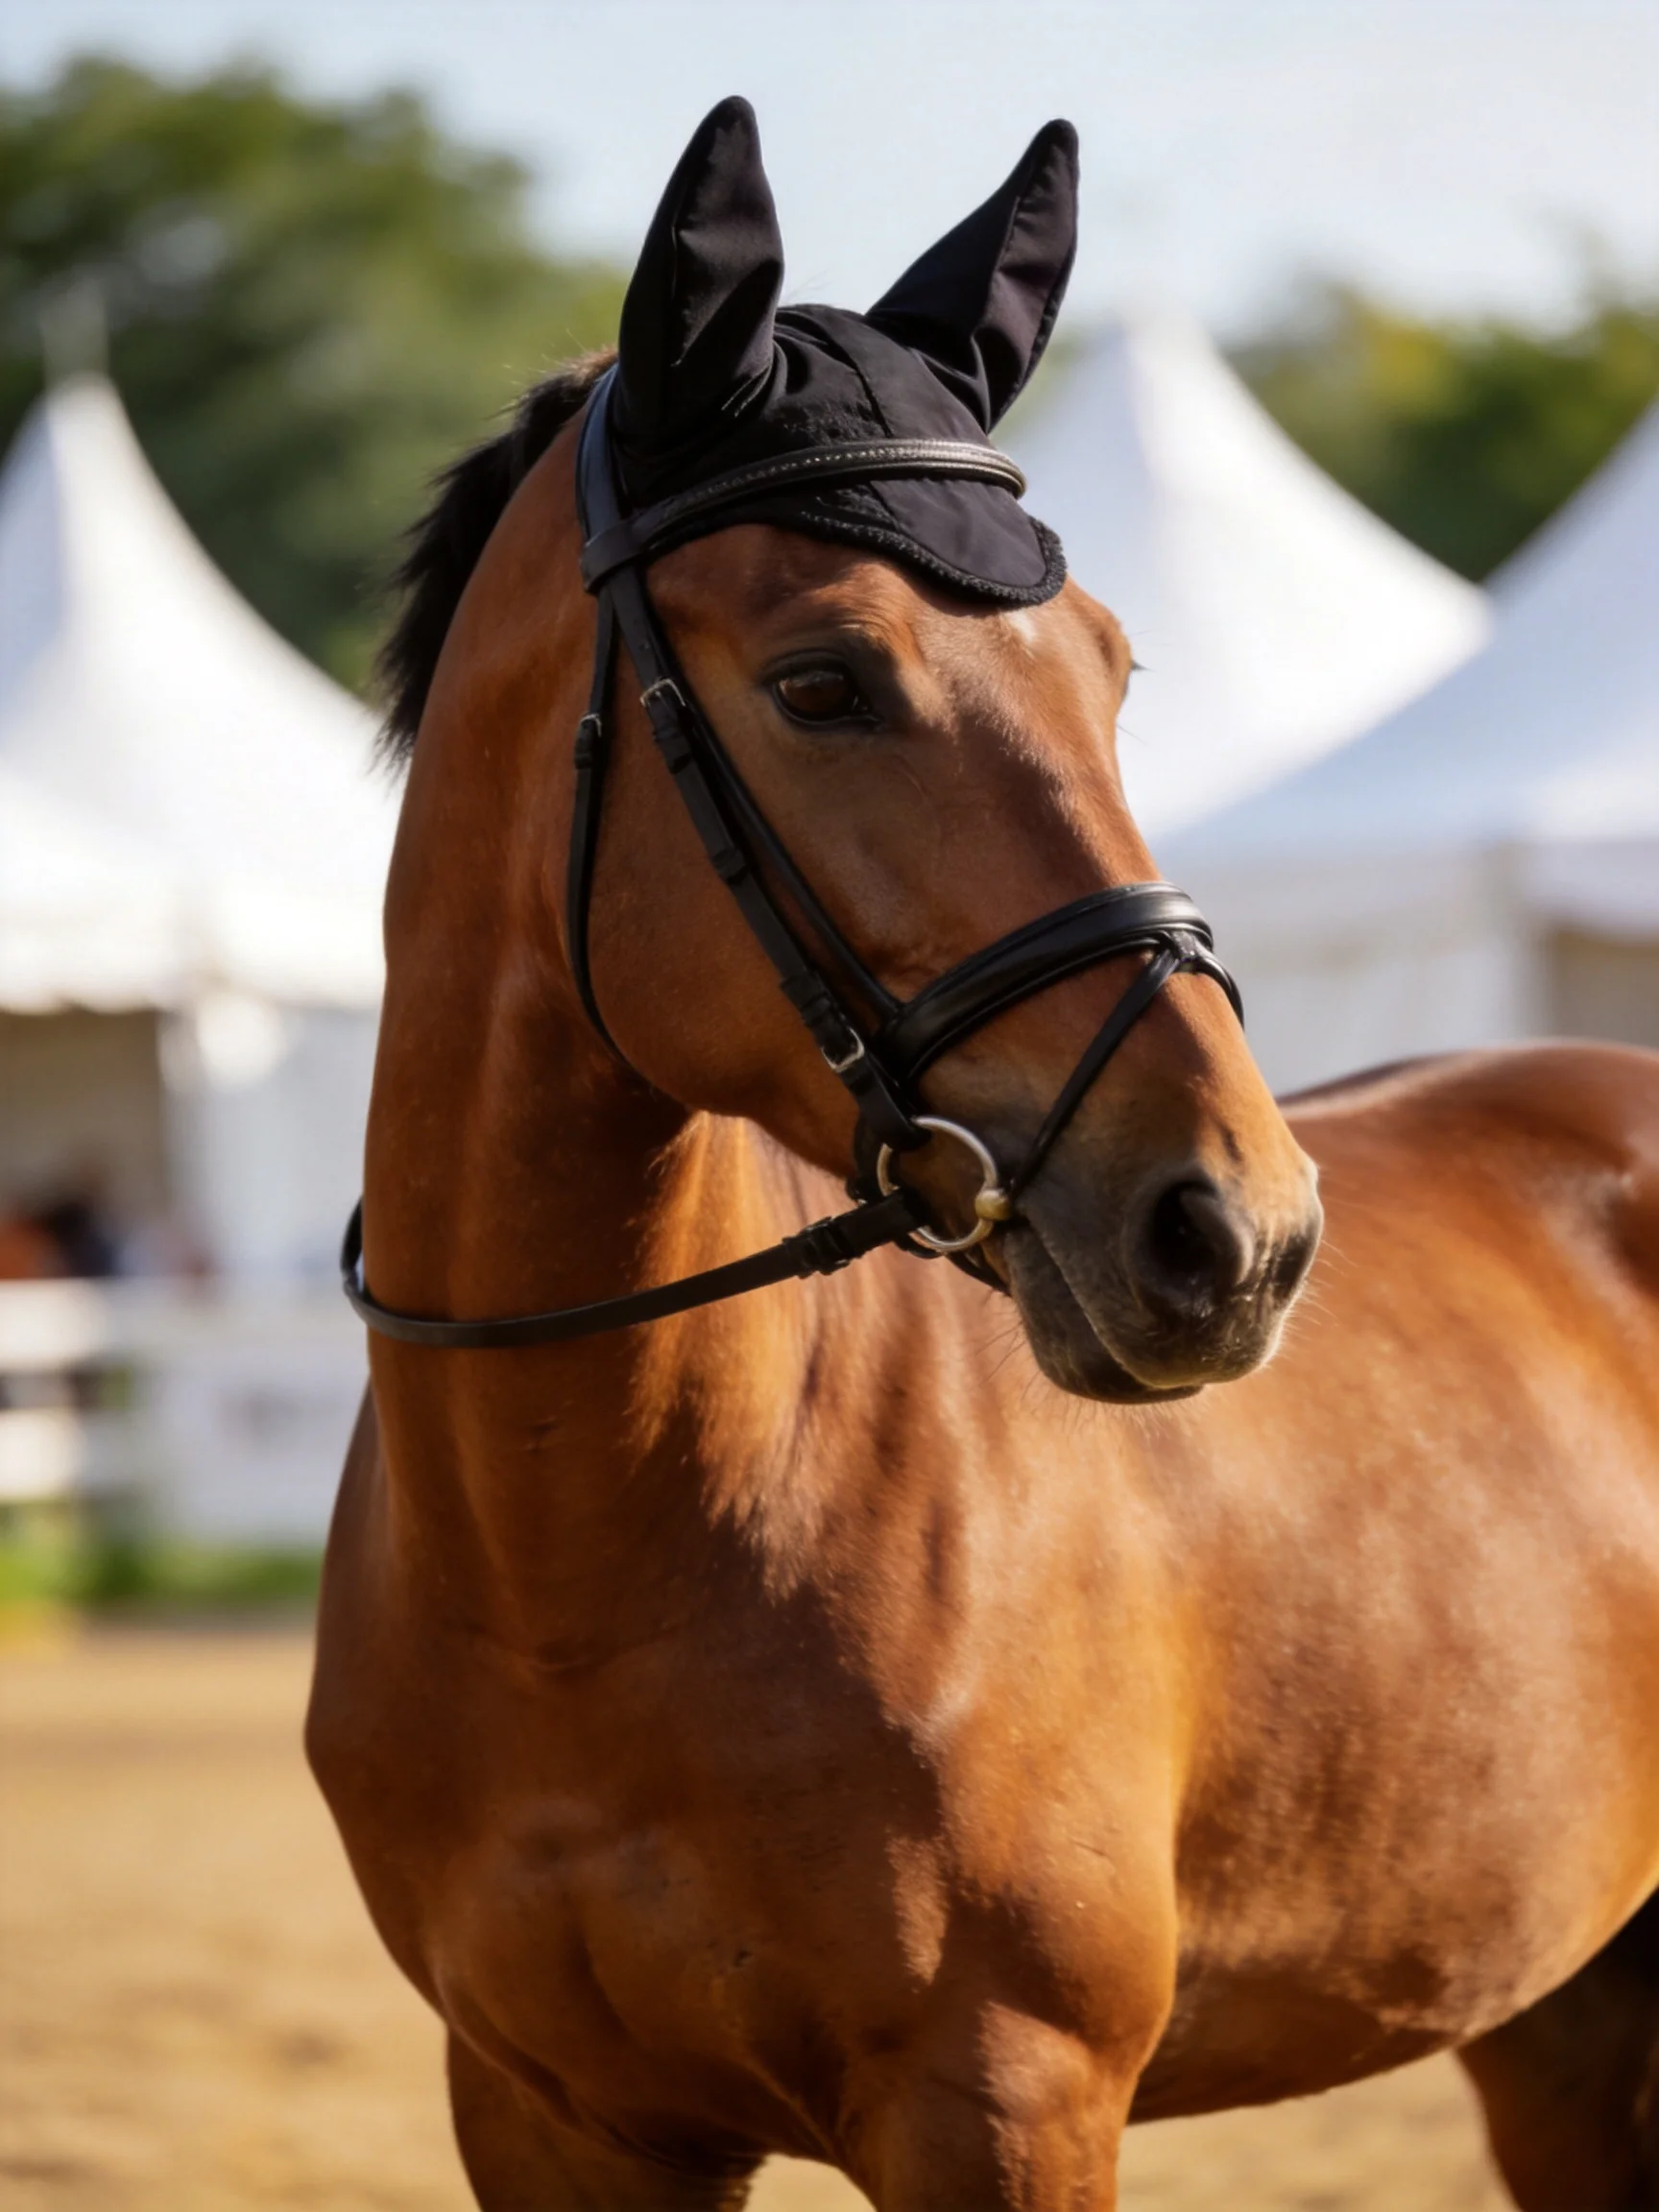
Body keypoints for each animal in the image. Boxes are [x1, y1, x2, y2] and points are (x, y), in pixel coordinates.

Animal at [308, 100, 1659, 2210]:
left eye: (1109, 666)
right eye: (821, 682)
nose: (1235, 1237)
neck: (580, 1563)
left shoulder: (1004, 2103)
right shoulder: (547, 2116)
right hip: (1564, 2019)